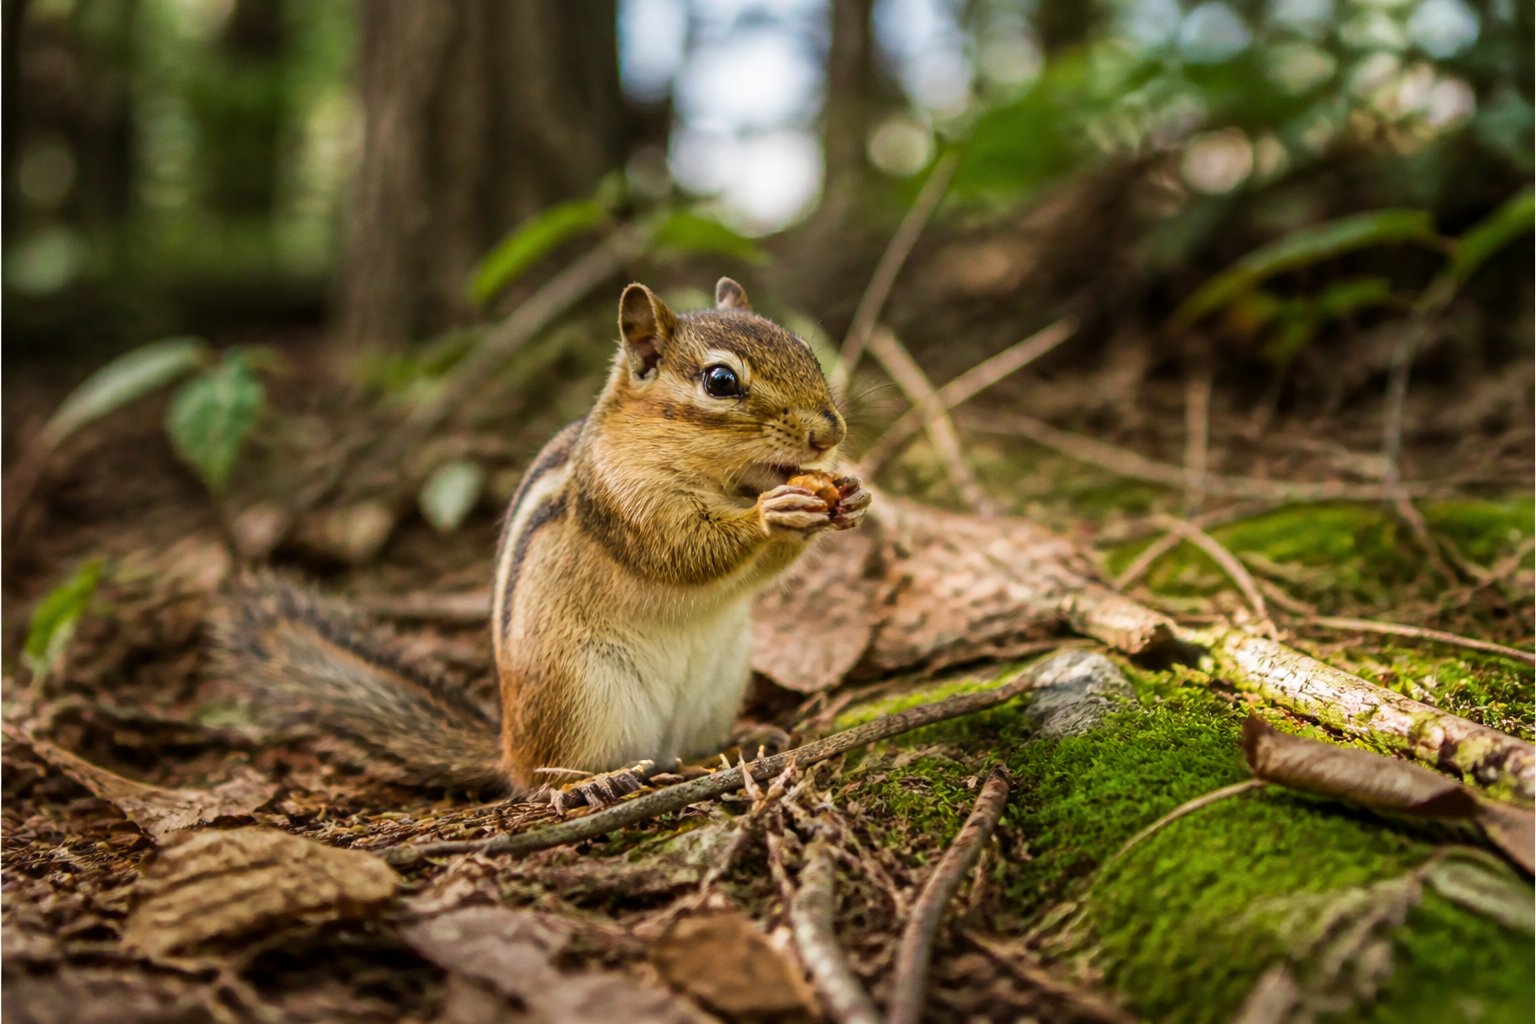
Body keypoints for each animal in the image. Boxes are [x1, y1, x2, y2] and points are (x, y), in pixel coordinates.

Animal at [216, 278, 871, 804]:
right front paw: (772, 512)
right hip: (578, 692)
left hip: (720, 682)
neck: (727, 481)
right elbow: (682, 550)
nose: (830, 433)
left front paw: (850, 497)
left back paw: (734, 743)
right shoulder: (620, 500)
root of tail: (507, 745)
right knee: (541, 779)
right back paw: (590, 781)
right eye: (720, 380)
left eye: (807, 350)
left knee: (677, 753)